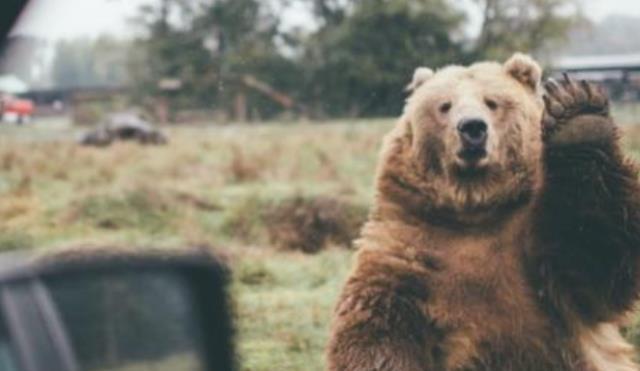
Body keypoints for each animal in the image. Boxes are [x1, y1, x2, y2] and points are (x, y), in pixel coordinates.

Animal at [328, 53, 640, 371]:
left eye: (492, 102)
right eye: (445, 105)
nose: (472, 128)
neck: (476, 208)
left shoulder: (540, 252)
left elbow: (594, 252)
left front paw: (578, 115)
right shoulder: (410, 243)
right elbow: (379, 321)